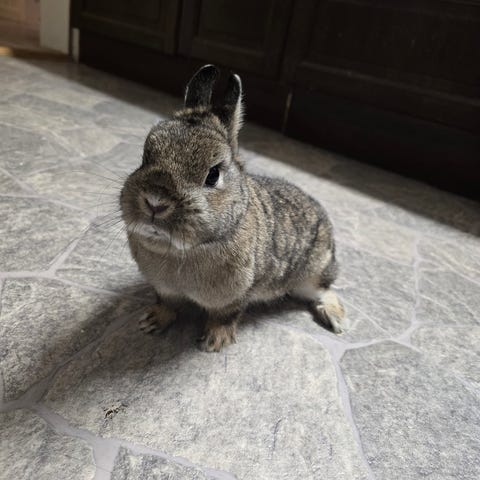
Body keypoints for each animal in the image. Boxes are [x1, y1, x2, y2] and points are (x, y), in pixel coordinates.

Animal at [120, 64, 347, 352]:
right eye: (145, 157)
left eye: (213, 175)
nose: (155, 202)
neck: (180, 250)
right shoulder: (164, 289)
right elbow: (166, 305)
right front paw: (151, 322)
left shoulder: (235, 295)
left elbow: (225, 316)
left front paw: (214, 342)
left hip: (311, 275)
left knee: (327, 291)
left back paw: (336, 321)